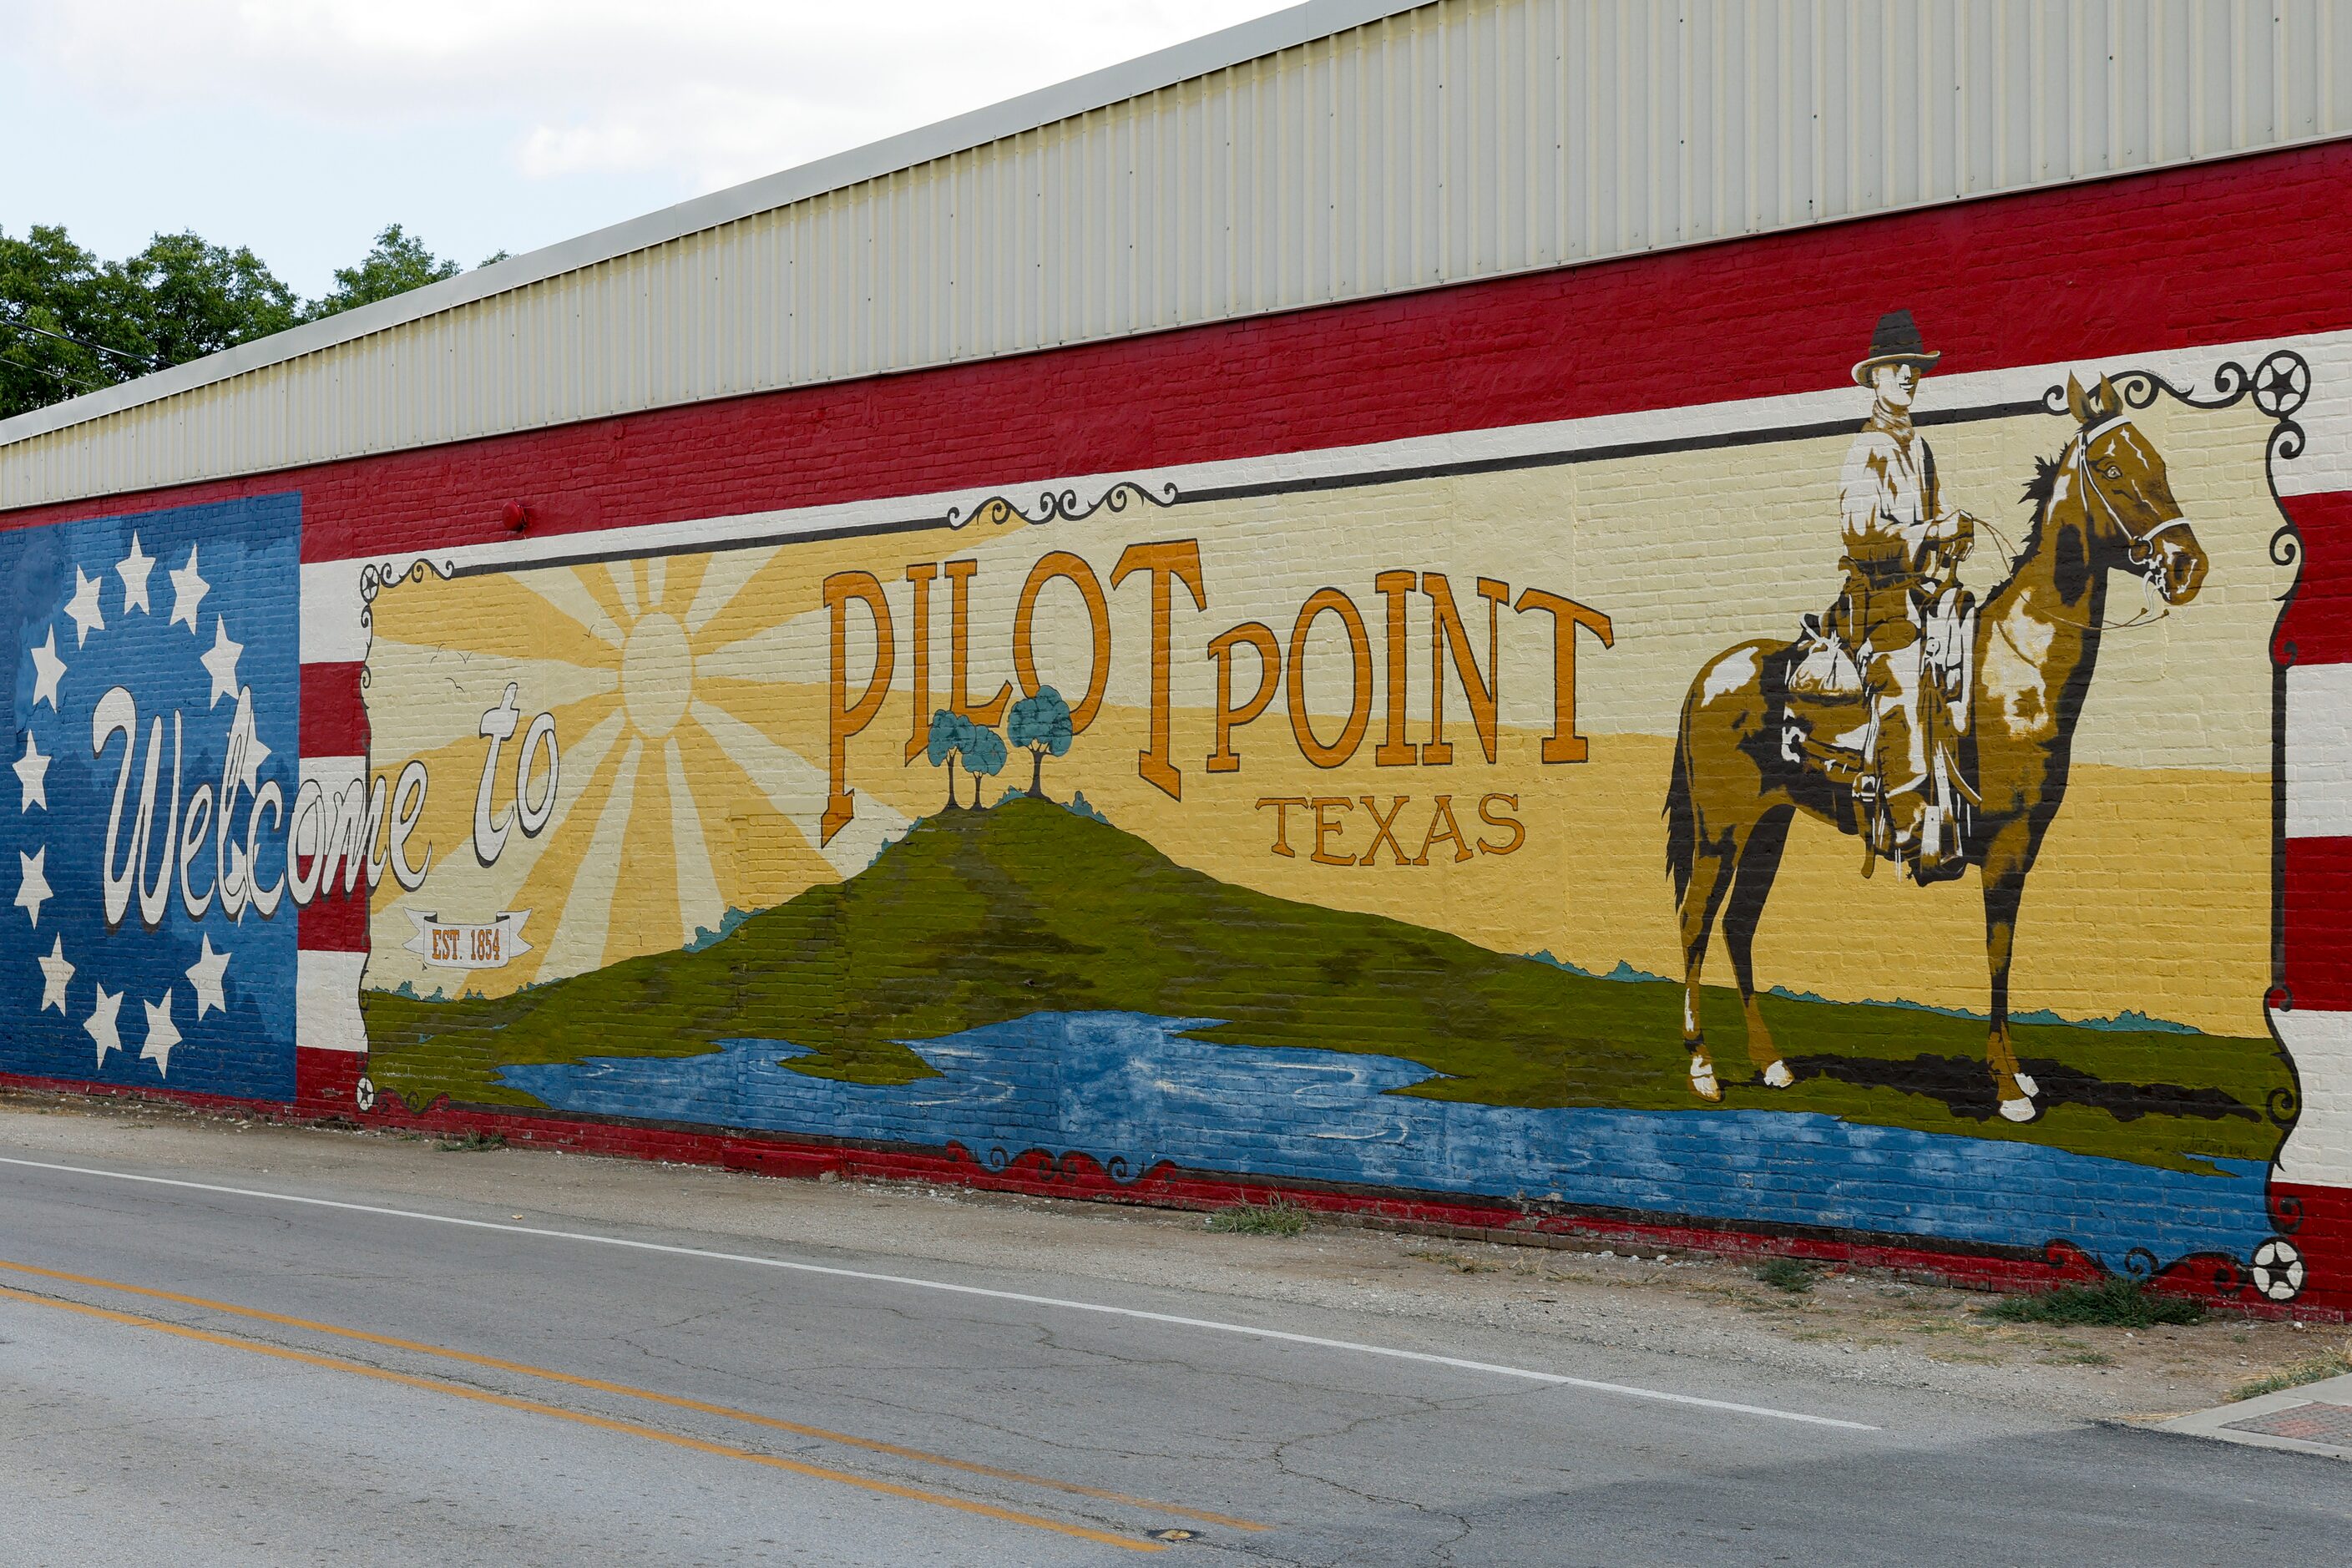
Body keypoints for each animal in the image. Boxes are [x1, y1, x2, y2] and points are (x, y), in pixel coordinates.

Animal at [1665, 373, 2210, 1123]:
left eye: (2157, 461)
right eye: (2109, 469)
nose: (2187, 566)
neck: (2015, 670)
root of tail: (1710, 674)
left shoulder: (2025, 845)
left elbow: (2002, 951)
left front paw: (2016, 1078)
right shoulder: (2006, 846)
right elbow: (1997, 954)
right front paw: (2009, 1087)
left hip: (1768, 827)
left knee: (1737, 928)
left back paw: (1771, 1064)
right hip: (1719, 829)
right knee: (1694, 921)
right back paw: (1702, 1069)